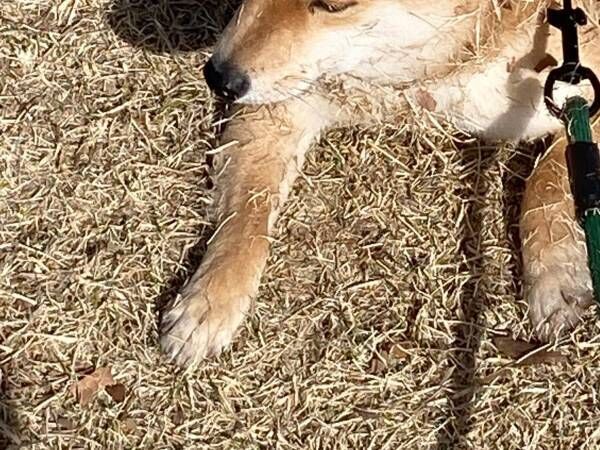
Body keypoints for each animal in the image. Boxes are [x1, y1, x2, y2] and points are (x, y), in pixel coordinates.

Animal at [158, 0, 600, 366]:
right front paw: (209, 300)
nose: (218, 76)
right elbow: (246, 217)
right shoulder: (284, 104)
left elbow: (548, 178)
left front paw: (556, 275)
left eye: (334, 4)